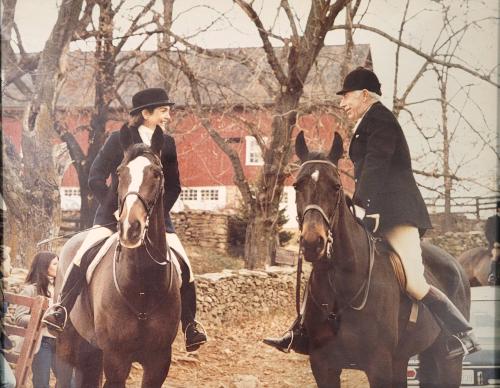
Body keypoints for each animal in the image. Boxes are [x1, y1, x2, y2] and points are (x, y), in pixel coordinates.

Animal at [55, 127, 180, 388]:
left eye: (157, 173)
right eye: (120, 173)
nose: (130, 228)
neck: (142, 286)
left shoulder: (159, 361)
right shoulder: (116, 359)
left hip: (91, 349)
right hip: (67, 341)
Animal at [292, 131, 468, 388]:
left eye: (336, 186)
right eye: (297, 185)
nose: (313, 243)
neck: (341, 285)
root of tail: (457, 264)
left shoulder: (379, 365)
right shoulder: (323, 366)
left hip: (448, 361)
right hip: (406, 359)